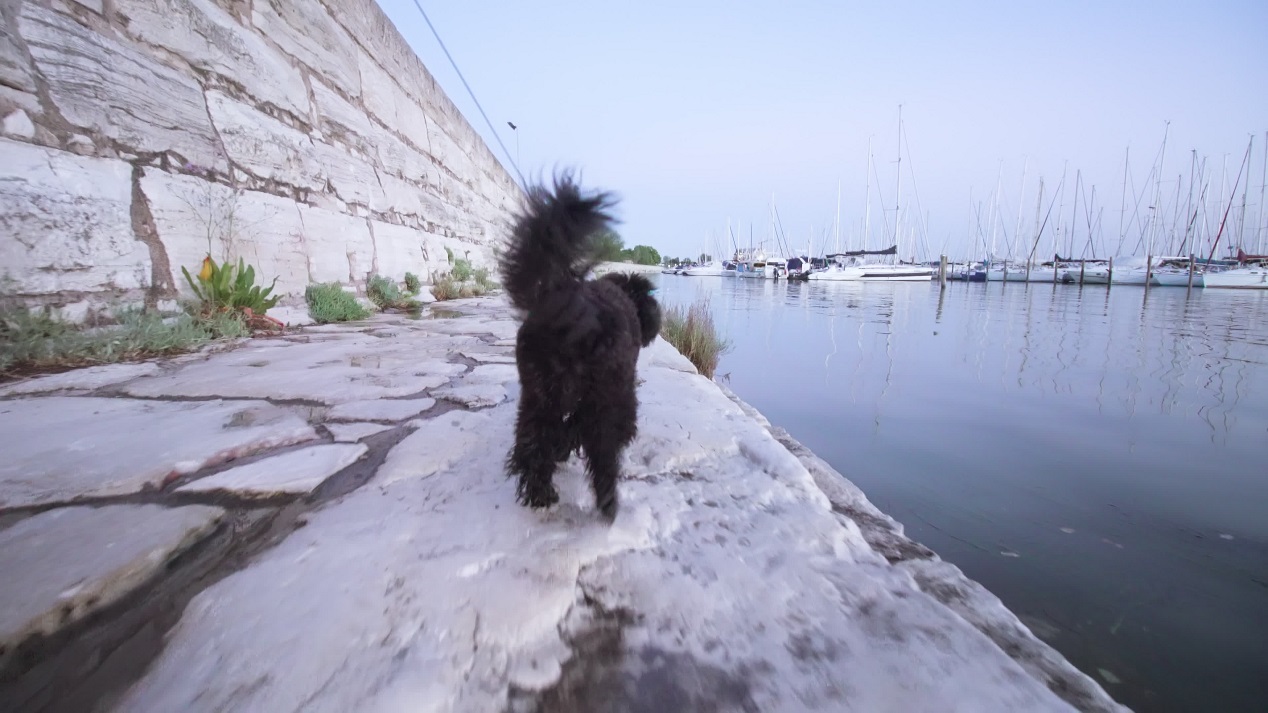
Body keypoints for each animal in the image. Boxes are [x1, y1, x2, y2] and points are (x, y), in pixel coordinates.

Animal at [499, 172, 664, 515]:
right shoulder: (619, 393)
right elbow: (584, 429)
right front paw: (564, 447)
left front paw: (558, 449)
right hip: (600, 396)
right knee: (600, 451)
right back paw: (607, 502)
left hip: (537, 392)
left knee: (532, 439)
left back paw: (538, 489)